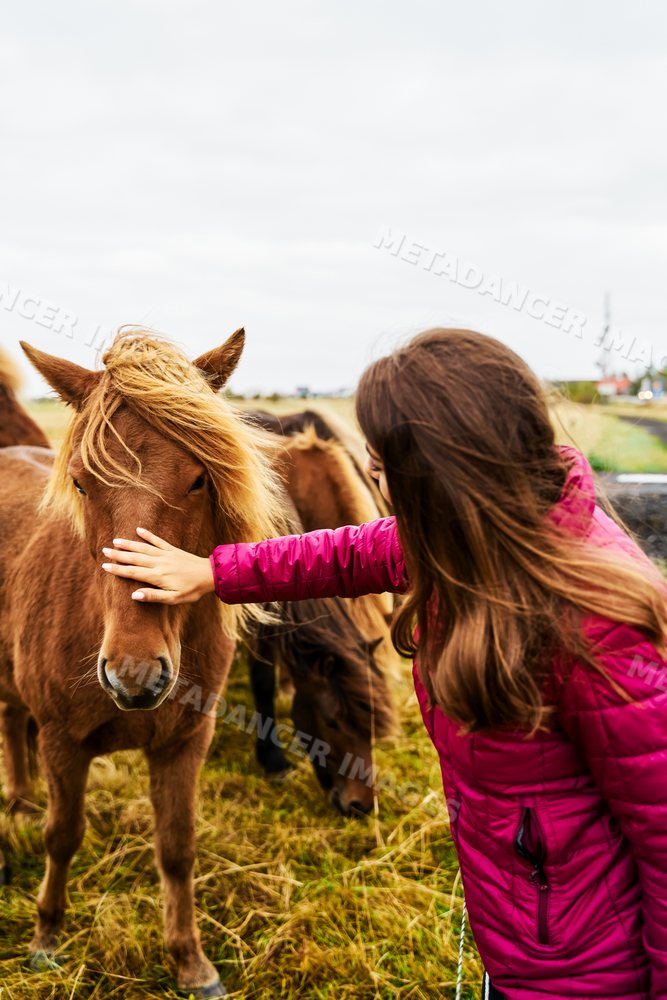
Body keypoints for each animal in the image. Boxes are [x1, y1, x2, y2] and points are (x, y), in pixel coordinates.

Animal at [0, 327, 287, 998]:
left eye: (198, 478)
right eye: (81, 482)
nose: (133, 674)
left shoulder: (184, 743)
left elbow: (177, 848)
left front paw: (191, 961)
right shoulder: (62, 742)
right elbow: (63, 836)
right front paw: (46, 937)